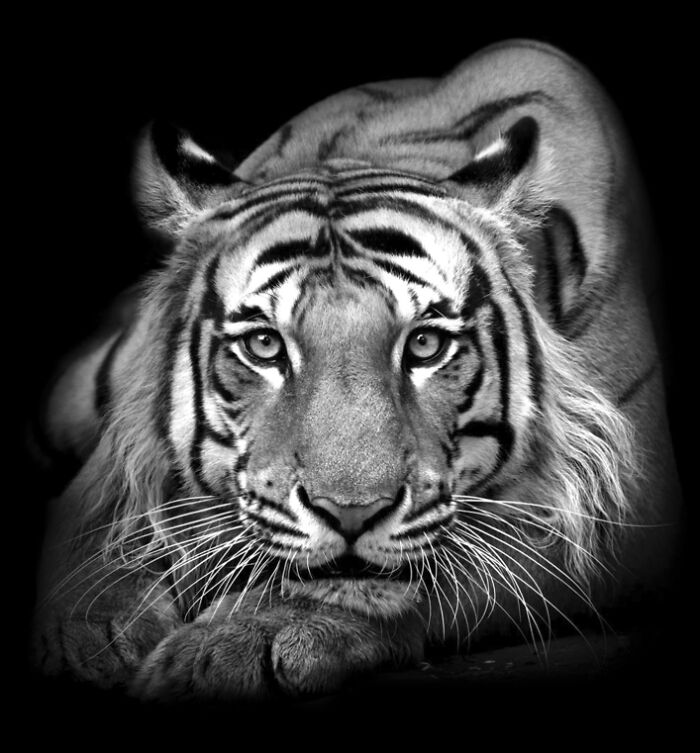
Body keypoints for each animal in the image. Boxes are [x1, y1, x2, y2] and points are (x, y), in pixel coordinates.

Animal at [32, 39, 680, 701]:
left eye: (425, 345)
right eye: (264, 346)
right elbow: (89, 538)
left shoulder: (622, 512)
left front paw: (239, 639)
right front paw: (86, 637)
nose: (352, 513)